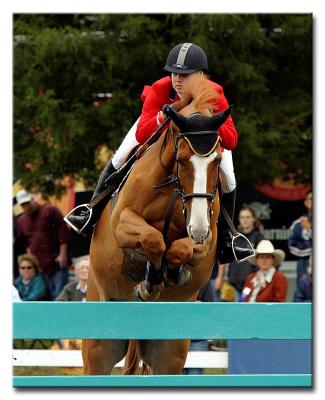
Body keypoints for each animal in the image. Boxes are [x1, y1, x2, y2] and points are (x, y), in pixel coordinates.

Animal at [81, 76, 232, 376]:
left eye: (218, 160)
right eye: (181, 159)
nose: (198, 227)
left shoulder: (206, 242)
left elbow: (180, 249)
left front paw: (171, 273)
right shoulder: (122, 221)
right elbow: (153, 238)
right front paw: (150, 281)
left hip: (169, 352)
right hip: (99, 345)